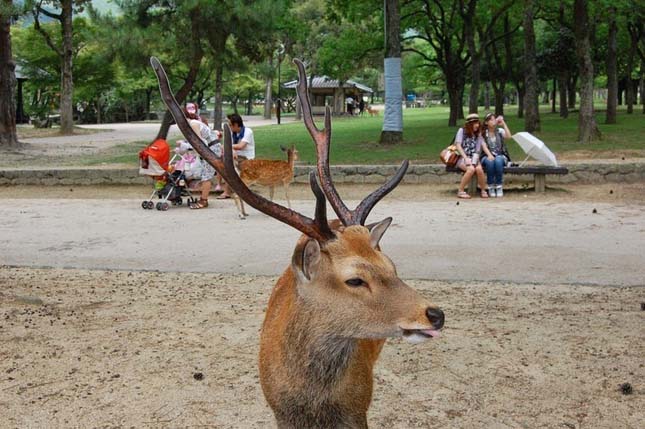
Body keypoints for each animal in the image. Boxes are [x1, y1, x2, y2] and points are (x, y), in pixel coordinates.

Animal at [151, 56, 442, 428]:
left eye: (392, 265)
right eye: (355, 280)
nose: (435, 315)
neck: (313, 403)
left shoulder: (358, 409)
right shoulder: (279, 412)